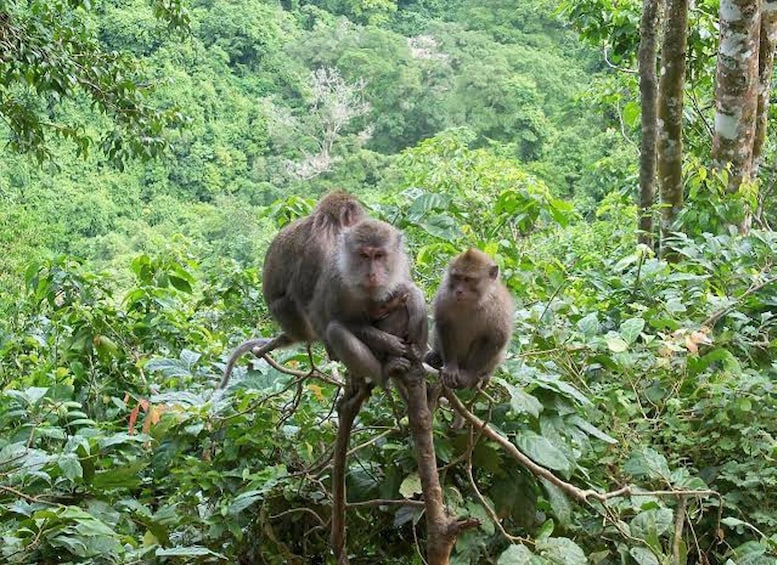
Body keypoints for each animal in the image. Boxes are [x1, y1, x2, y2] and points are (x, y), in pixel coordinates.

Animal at [220, 191, 366, 388]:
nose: (362, 222)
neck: (328, 224)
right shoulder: (319, 246)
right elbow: (303, 292)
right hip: (295, 322)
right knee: (287, 302)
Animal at [310, 219, 428, 387]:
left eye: (379, 255)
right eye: (364, 255)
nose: (372, 274)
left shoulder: (400, 264)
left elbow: (407, 289)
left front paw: (417, 302)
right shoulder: (335, 281)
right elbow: (336, 320)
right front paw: (389, 342)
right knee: (335, 331)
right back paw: (384, 372)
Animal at [426, 248, 514, 390]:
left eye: (468, 279)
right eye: (457, 277)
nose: (459, 291)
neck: (471, 302)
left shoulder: (499, 306)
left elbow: (497, 337)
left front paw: (469, 374)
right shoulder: (444, 295)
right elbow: (444, 324)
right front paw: (450, 368)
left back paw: (484, 375)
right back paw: (436, 357)